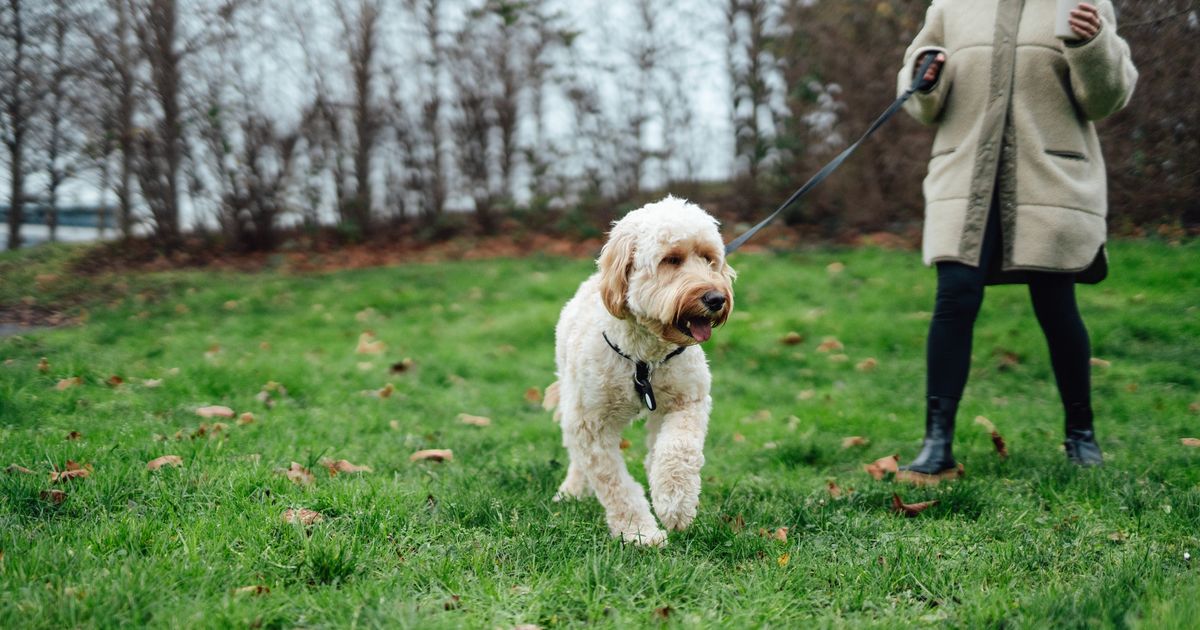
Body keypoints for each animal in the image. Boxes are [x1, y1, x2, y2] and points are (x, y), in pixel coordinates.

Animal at [547, 196, 734, 544]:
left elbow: (677, 449)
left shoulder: (688, 400)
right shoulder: (590, 424)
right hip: (572, 400)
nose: (716, 298)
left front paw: (675, 504)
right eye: (671, 260)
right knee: (577, 455)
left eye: (708, 258)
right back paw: (572, 491)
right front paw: (640, 532)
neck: (644, 358)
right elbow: (614, 483)